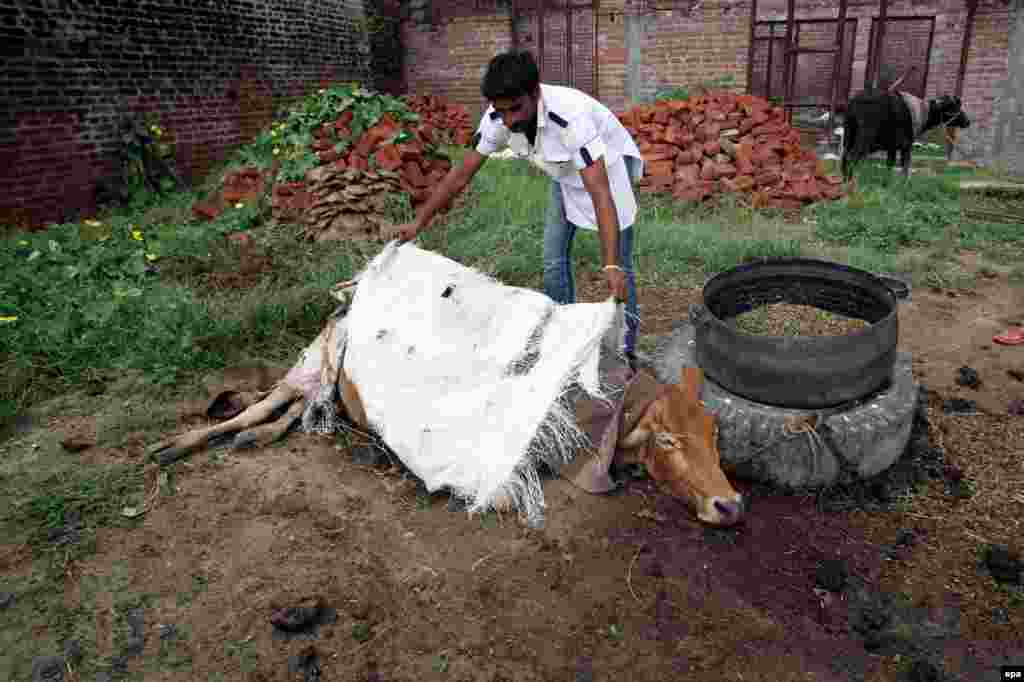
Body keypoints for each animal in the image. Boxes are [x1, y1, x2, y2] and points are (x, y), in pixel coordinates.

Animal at [149, 292, 745, 524]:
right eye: (667, 439)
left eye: (715, 436)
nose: (732, 505)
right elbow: (497, 493)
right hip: (312, 362)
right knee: (260, 407)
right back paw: (178, 445)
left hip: (324, 386)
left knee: (296, 413)